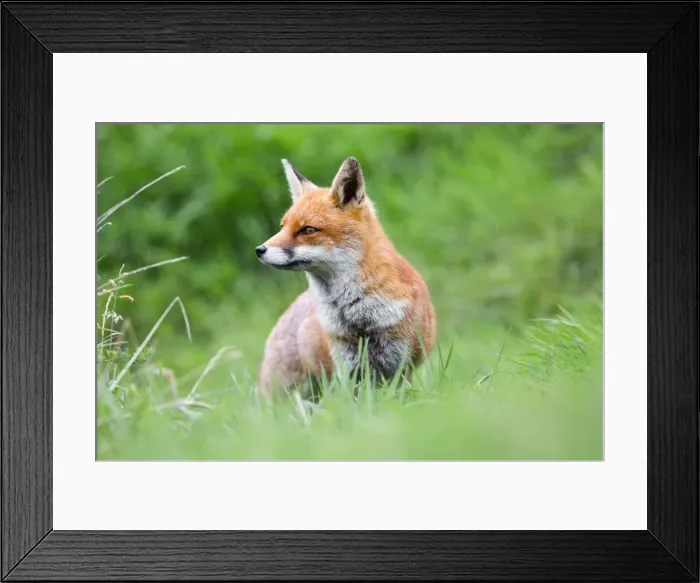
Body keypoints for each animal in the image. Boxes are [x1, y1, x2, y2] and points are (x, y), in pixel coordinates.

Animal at [256, 156, 436, 399]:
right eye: (282, 227)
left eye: (307, 230)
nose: (259, 250)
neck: (358, 319)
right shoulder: (346, 367)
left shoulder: (400, 367)